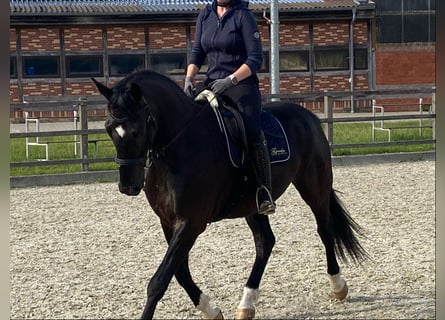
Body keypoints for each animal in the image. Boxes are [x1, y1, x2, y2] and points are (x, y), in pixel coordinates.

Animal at [92, 70, 366, 320]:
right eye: (108, 128)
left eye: (136, 130)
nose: (127, 186)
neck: (180, 146)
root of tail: (308, 116)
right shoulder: (168, 221)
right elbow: (179, 272)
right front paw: (211, 310)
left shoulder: (191, 223)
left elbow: (159, 280)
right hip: (253, 205)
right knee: (265, 242)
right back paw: (247, 303)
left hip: (314, 187)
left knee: (324, 230)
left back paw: (338, 286)